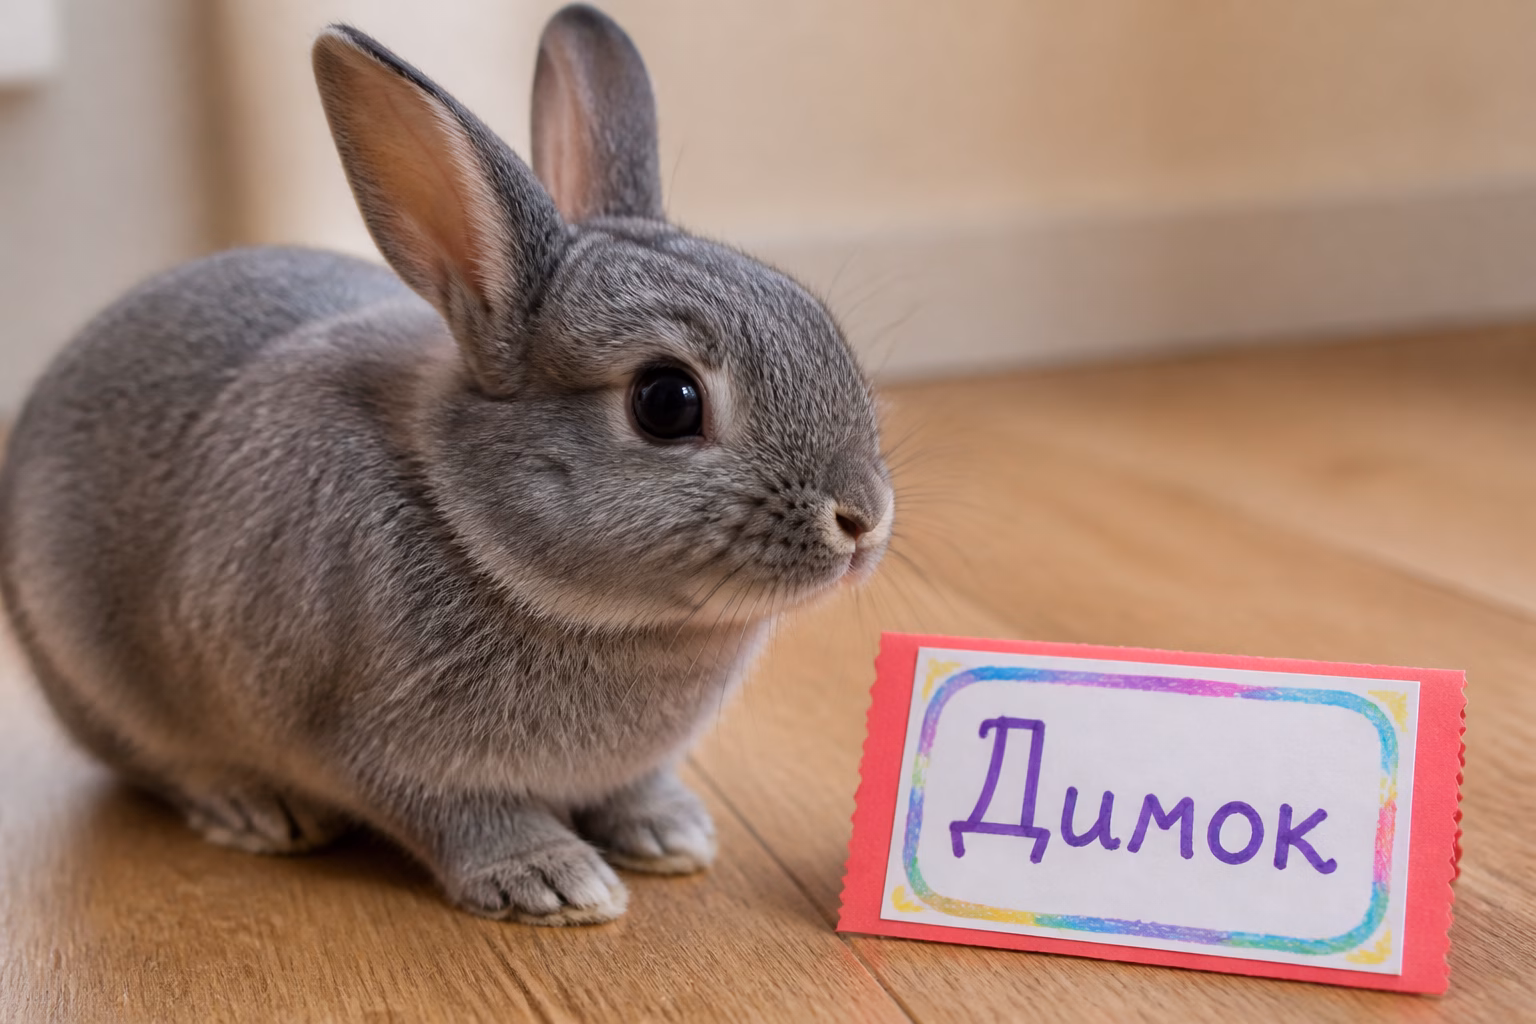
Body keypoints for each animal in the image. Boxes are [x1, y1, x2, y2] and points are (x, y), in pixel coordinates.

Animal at [0, 4, 891, 925]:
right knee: (162, 762)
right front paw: (554, 882)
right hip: (102, 679)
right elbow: (460, 816)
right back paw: (257, 808)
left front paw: (669, 834)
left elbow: (632, 786)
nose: (863, 516)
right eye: (666, 401)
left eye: (813, 314)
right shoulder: (377, 746)